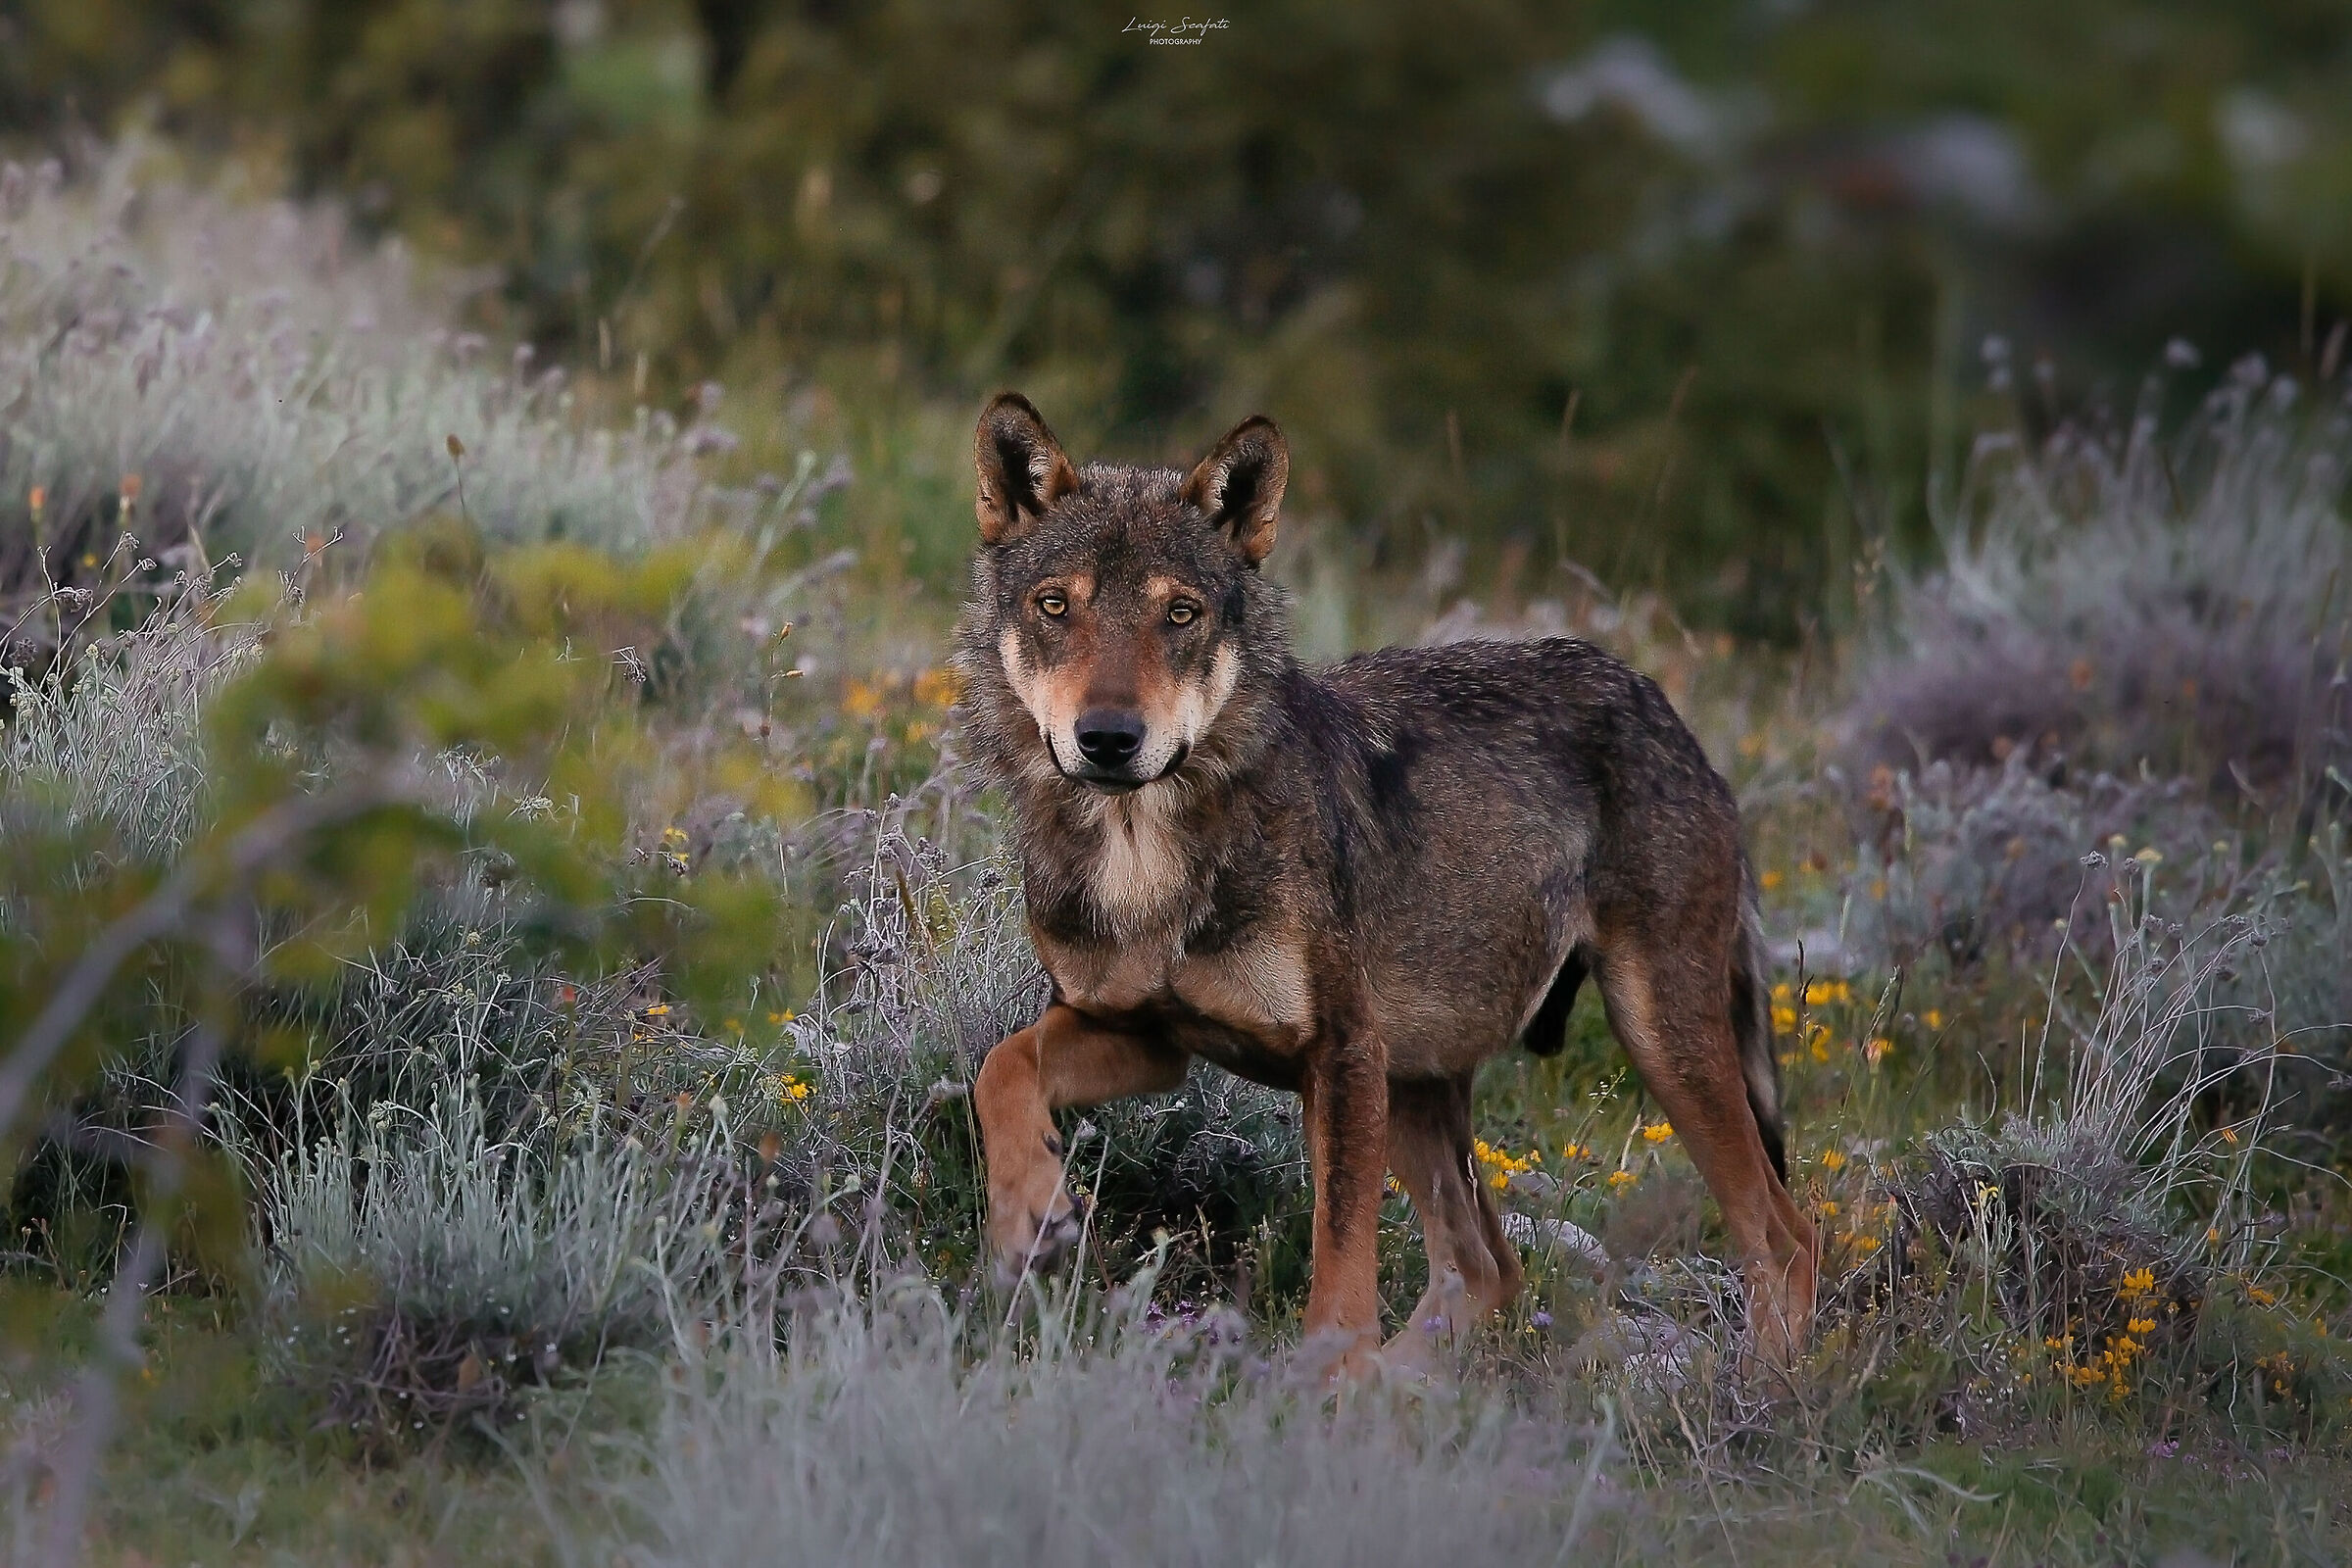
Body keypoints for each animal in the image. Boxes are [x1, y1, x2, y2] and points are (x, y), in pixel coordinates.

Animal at [955, 393, 1817, 1371]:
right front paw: (1027, 1214)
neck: (1144, 858)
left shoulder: (1342, 1056)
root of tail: (1671, 714)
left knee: (1784, 1238)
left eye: (1179, 613)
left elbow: (1338, 1284)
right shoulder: (1142, 1035)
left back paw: (1776, 1390)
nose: (1107, 738)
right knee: (1488, 1268)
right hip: (1421, 1084)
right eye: (1054, 606)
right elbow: (1000, 1067)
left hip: (1656, 1040)